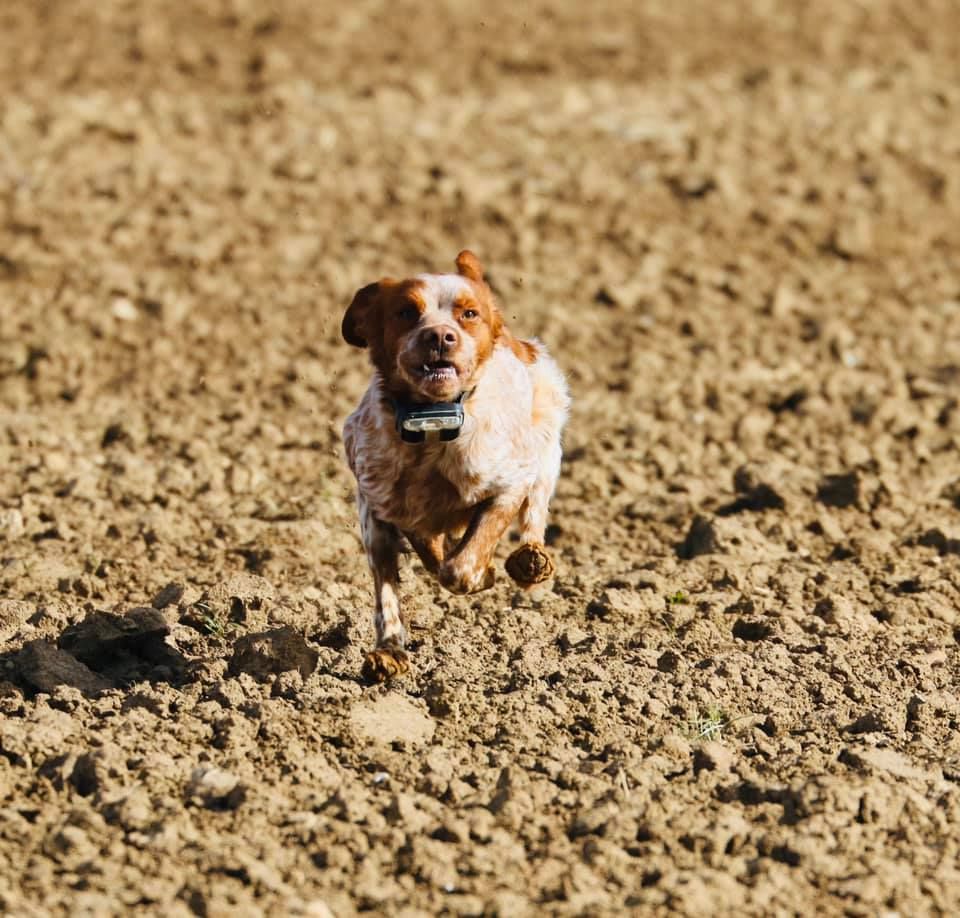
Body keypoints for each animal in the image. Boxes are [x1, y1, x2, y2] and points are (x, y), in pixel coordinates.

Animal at [344, 252, 568, 684]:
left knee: (536, 510)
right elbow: (397, 581)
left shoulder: (510, 481)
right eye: (405, 312)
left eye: (469, 313)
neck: (432, 428)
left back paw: (529, 560)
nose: (439, 336)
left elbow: (461, 566)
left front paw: (484, 574)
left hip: (547, 439)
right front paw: (389, 651)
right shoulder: (378, 509)